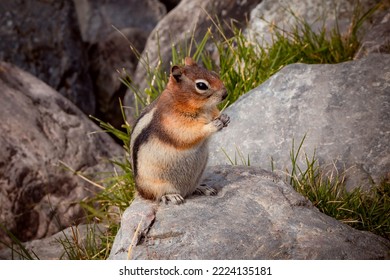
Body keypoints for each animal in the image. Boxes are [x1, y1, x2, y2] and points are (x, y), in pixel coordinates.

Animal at [129, 57, 230, 205]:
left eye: (214, 73)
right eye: (201, 86)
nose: (225, 94)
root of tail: (141, 191)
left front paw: (224, 117)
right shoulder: (174, 124)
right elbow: (190, 134)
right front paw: (214, 125)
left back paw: (203, 188)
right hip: (157, 185)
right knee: (158, 195)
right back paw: (172, 196)